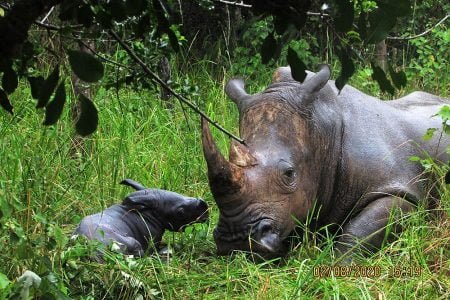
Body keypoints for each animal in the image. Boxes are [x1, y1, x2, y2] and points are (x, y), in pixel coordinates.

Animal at [201, 65, 450, 258]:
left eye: (289, 173)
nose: (237, 241)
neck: (322, 129)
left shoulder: (401, 191)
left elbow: (359, 233)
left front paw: (337, 265)